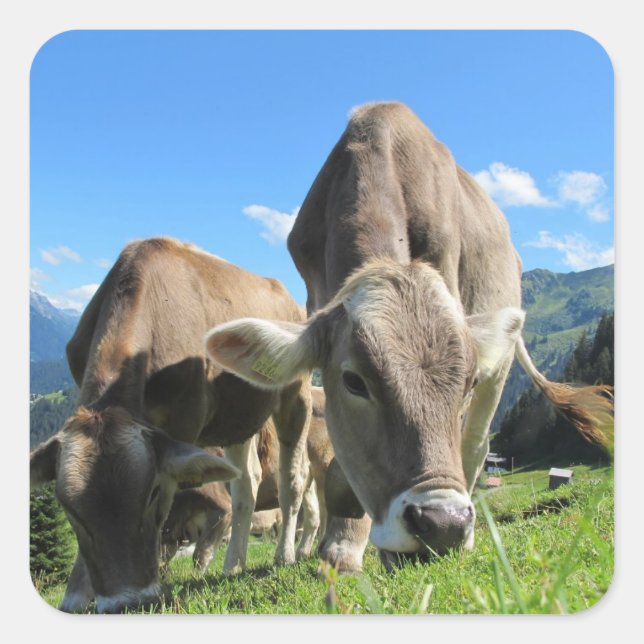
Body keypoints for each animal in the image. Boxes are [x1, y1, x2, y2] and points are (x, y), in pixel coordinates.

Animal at [29, 237, 312, 612]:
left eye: (151, 493)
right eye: (67, 508)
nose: (125, 602)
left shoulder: (183, 422)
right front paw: (76, 595)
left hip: (296, 394)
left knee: (292, 479)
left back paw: (285, 555)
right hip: (238, 416)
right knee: (246, 483)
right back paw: (233, 564)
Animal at [203, 102, 613, 572]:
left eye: (467, 381)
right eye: (353, 381)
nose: (444, 524)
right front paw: (342, 545)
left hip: (500, 367)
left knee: (475, 447)